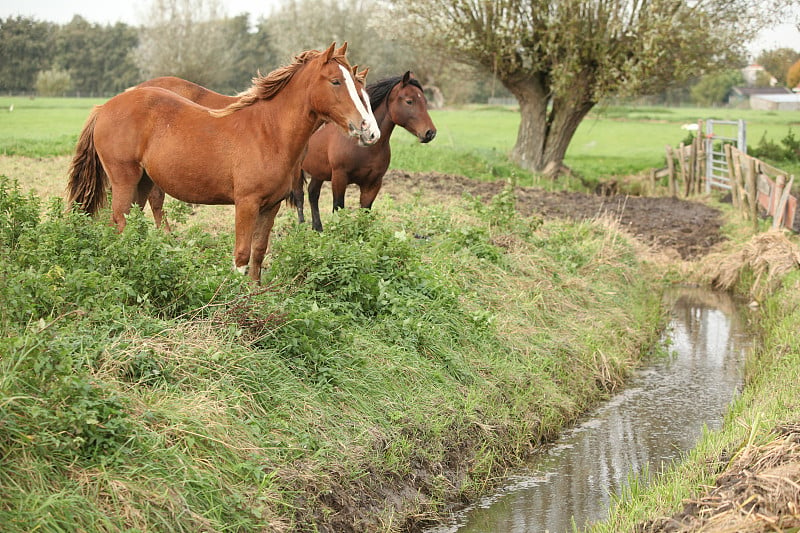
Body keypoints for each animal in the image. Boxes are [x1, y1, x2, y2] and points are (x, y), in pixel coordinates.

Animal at [67, 43, 380, 282]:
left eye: (359, 86)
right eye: (336, 81)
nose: (369, 130)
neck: (269, 132)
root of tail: (105, 106)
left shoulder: (271, 206)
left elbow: (259, 253)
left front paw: (255, 296)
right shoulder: (246, 203)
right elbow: (241, 255)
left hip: (143, 182)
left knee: (133, 222)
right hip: (124, 178)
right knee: (120, 220)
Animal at [292, 70, 434, 231]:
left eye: (425, 101)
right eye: (409, 101)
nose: (430, 133)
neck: (363, 147)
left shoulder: (373, 183)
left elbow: (365, 211)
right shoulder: (339, 177)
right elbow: (338, 207)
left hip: (318, 172)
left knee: (313, 193)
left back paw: (318, 229)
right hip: (297, 171)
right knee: (299, 196)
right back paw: (302, 228)